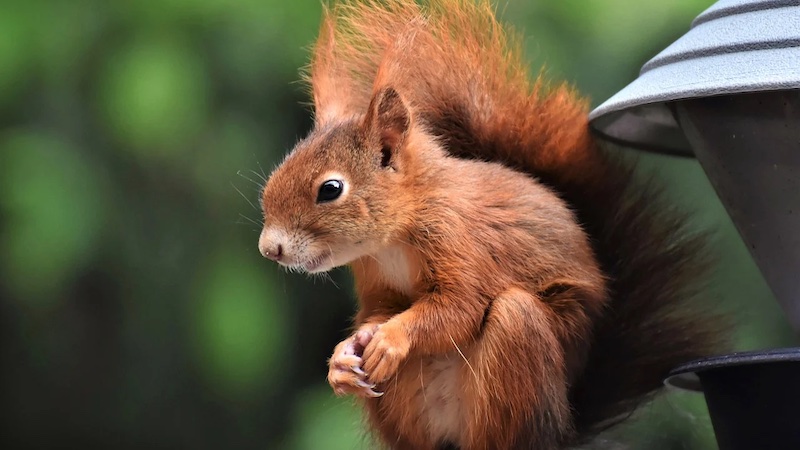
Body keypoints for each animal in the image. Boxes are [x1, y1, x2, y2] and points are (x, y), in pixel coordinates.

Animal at [260, 1, 720, 448]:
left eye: (330, 189)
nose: (269, 248)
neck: (394, 236)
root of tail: (561, 427)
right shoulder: (375, 276)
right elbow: (380, 309)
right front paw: (342, 357)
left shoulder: (461, 240)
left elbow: (458, 307)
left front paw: (391, 338)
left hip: (519, 357)